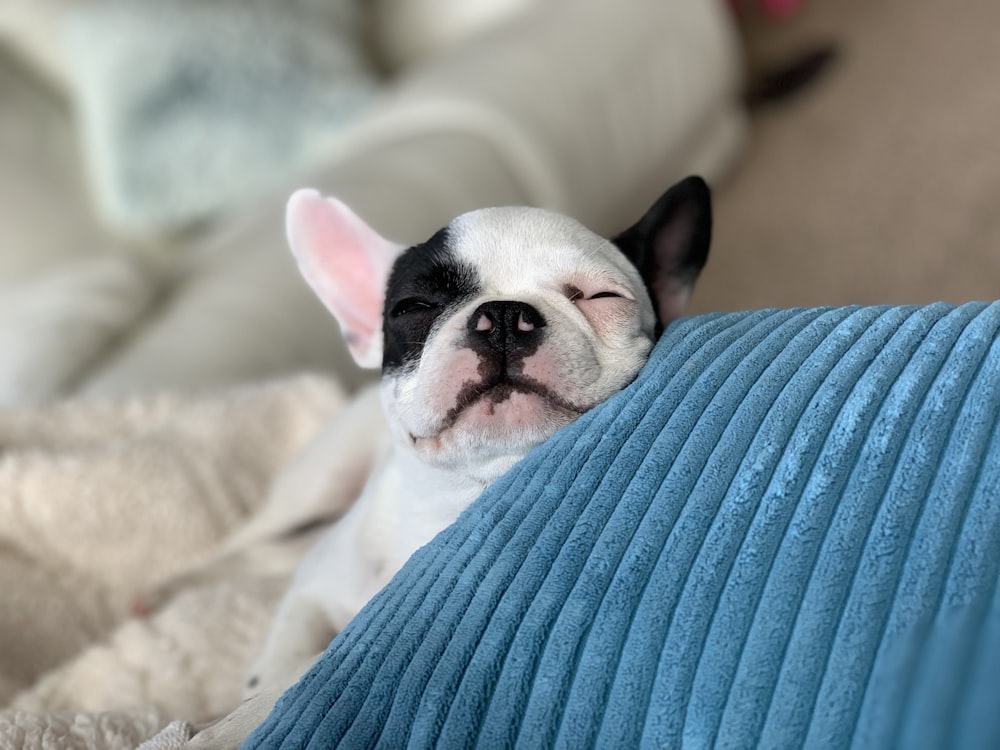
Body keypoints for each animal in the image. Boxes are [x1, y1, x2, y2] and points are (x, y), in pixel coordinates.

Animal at [182, 175, 712, 748]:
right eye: (412, 306)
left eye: (602, 296)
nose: (503, 315)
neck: (451, 505)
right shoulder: (315, 586)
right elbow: (286, 664)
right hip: (320, 481)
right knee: (243, 545)